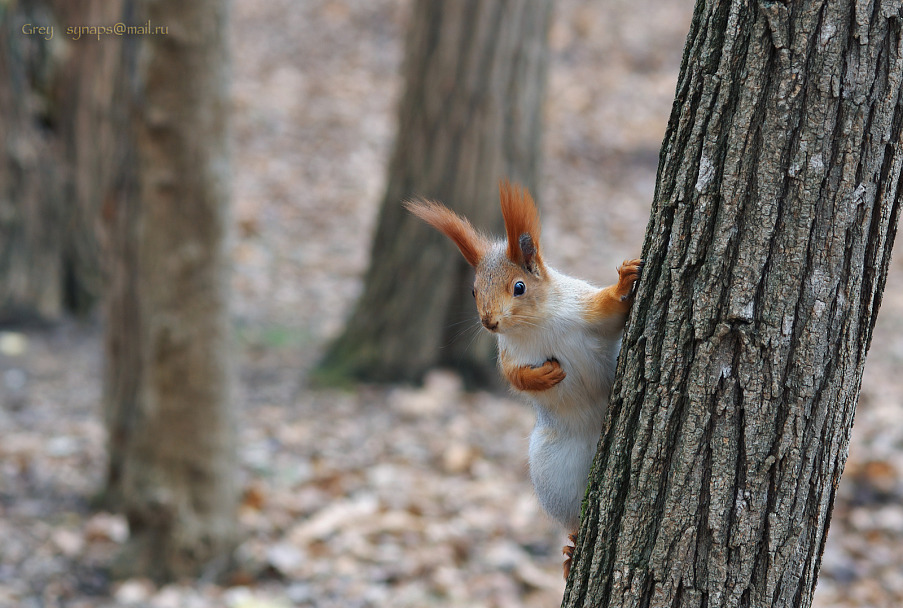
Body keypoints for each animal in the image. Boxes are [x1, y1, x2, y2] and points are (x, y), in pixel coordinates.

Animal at [406, 178, 640, 576]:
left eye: (519, 287)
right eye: (473, 290)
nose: (488, 322)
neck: (536, 324)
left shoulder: (585, 311)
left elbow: (611, 309)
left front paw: (626, 277)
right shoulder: (509, 355)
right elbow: (514, 377)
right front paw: (544, 376)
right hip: (553, 475)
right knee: (572, 517)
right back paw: (572, 548)